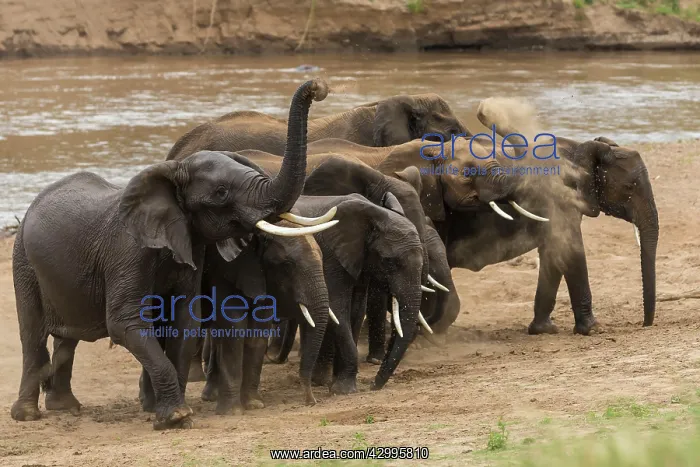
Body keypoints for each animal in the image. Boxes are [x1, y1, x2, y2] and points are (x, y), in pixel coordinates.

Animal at [10, 79, 336, 430]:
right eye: (221, 193)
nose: (319, 87)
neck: (174, 171)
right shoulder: (126, 251)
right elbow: (125, 323)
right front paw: (176, 417)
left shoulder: (190, 247)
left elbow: (185, 321)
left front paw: (170, 412)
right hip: (23, 261)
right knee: (33, 333)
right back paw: (27, 415)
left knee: (66, 338)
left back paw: (65, 407)